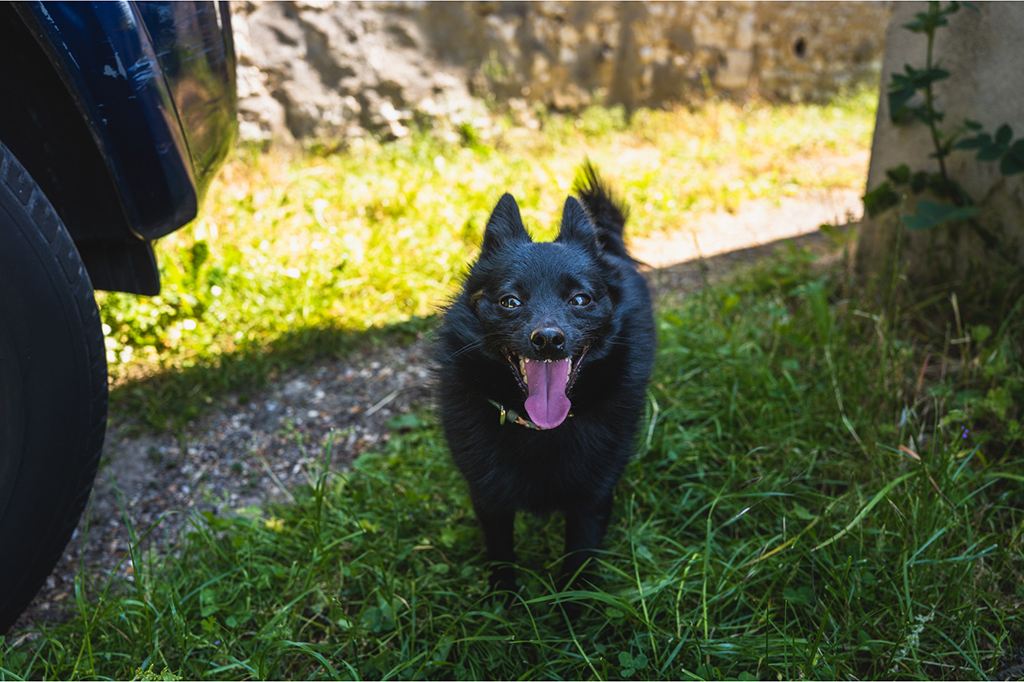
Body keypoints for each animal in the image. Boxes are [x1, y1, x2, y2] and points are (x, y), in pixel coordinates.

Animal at [434, 161, 655, 593]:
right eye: (510, 301)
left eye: (580, 299)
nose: (549, 339)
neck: (542, 429)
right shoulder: (489, 499)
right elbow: (501, 558)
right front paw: (504, 603)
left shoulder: (593, 501)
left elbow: (578, 568)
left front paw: (570, 609)